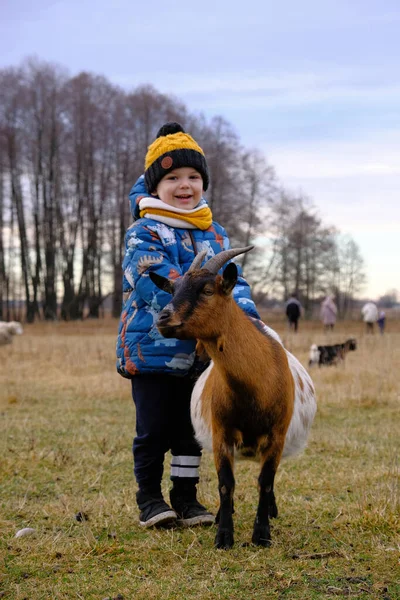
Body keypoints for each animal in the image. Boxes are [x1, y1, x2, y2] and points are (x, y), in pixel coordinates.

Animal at [148, 247, 318, 548]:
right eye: (173, 289)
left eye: (207, 290)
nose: (163, 319)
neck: (255, 387)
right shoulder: (222, 434)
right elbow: (226, 483)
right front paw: (224, 535)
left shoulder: (277, 434)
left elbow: (265, 482)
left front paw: (261, 535)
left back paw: (271, 510)